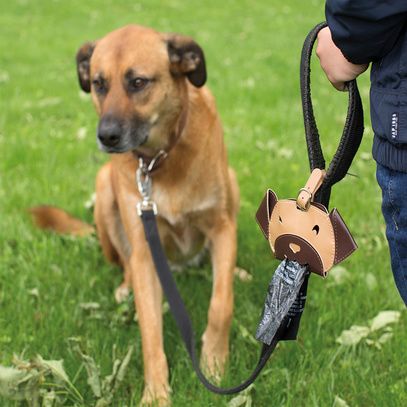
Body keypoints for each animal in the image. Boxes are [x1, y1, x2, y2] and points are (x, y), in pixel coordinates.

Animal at [34, 24, 242, 404]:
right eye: (99, 83)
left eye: (138, 82)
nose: (107, 136)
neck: (161, 158)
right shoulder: (146, 253)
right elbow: (149, 330)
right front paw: (156, 393)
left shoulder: (221, 227)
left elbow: (221, 304)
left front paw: (214, 363)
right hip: (104, 188)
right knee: (126, 265)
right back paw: (124, 288)